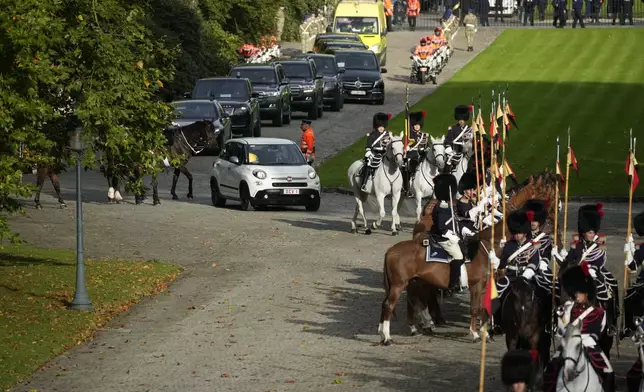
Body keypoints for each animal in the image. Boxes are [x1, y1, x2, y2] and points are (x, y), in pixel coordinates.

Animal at [378, 173, 560, 344]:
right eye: (547, 194)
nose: (553, 225)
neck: (489, 244)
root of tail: (390, 251)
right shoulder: (478, 284)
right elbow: (476, 309)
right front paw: (476, 333)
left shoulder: (488, 284)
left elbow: (483, 308)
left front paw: (486, 332)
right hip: (400, 284)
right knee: (390, 304)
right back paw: (389, 336)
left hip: (413, 282)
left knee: (411, 300)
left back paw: (411, 327)